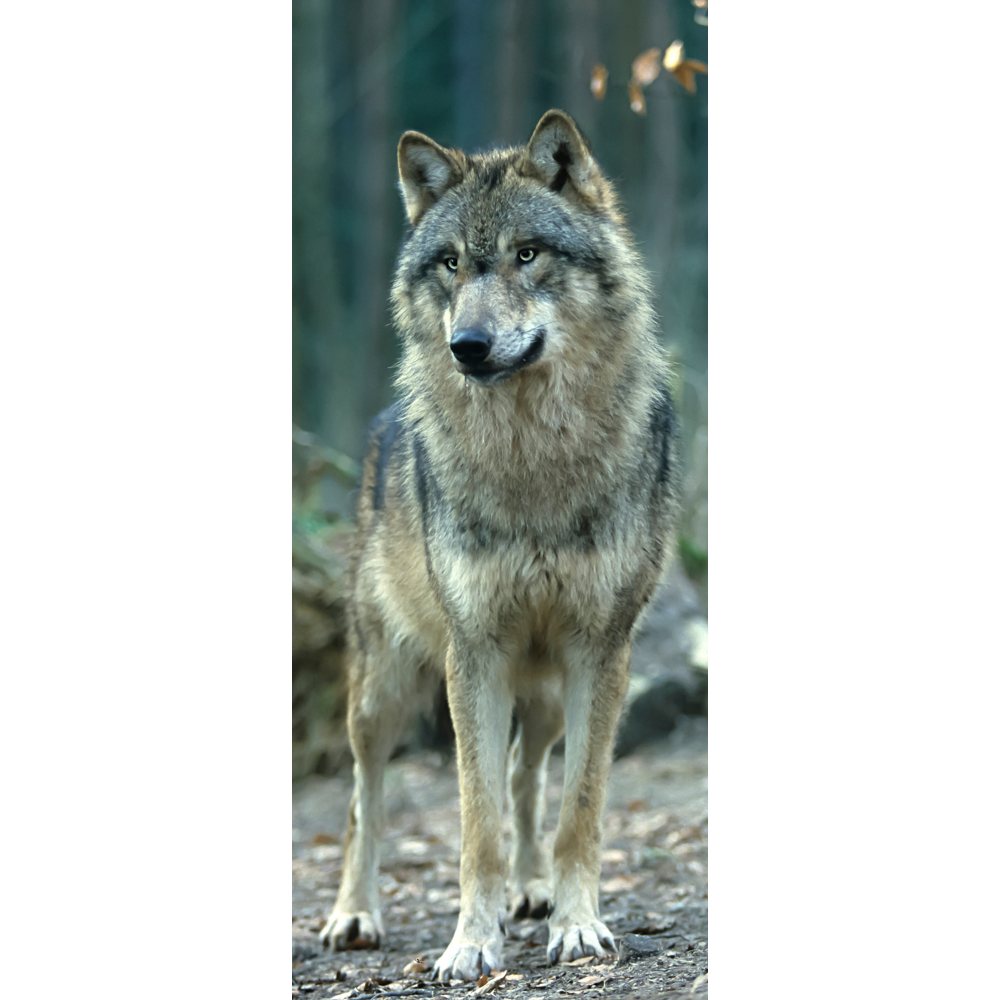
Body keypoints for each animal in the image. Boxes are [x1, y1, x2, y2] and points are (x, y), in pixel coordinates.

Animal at [319, 109, 680, 981]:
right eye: (451, 263)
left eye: (527, 254)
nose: (469, 345)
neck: (532, 461)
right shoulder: (474, 653)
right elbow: (473, 823)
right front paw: (469, 945)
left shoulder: (599, 651)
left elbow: (577, 808)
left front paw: (575, 926)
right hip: (381, 691)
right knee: (362, 799)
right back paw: (354, 913)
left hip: (543, 689)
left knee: (526, 773)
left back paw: (533, 890)